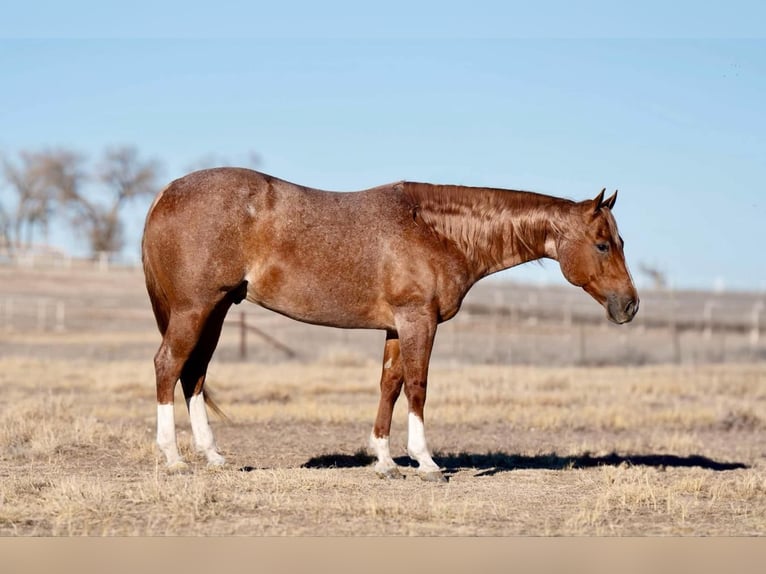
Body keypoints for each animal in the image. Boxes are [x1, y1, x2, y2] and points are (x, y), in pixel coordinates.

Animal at [141, 169, 640, 484]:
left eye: (620, 241)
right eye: (602, 244)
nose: (630, 305)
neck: (437, 232)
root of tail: (165, 193)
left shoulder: (398, 327)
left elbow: (390, 385)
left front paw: (384, 461)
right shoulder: (418, 319)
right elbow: (417, 386)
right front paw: (426, 462)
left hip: (217, 309)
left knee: (194, 374)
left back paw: (213, 455)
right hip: (194, 309)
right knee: (168, 366)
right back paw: (173, 458)